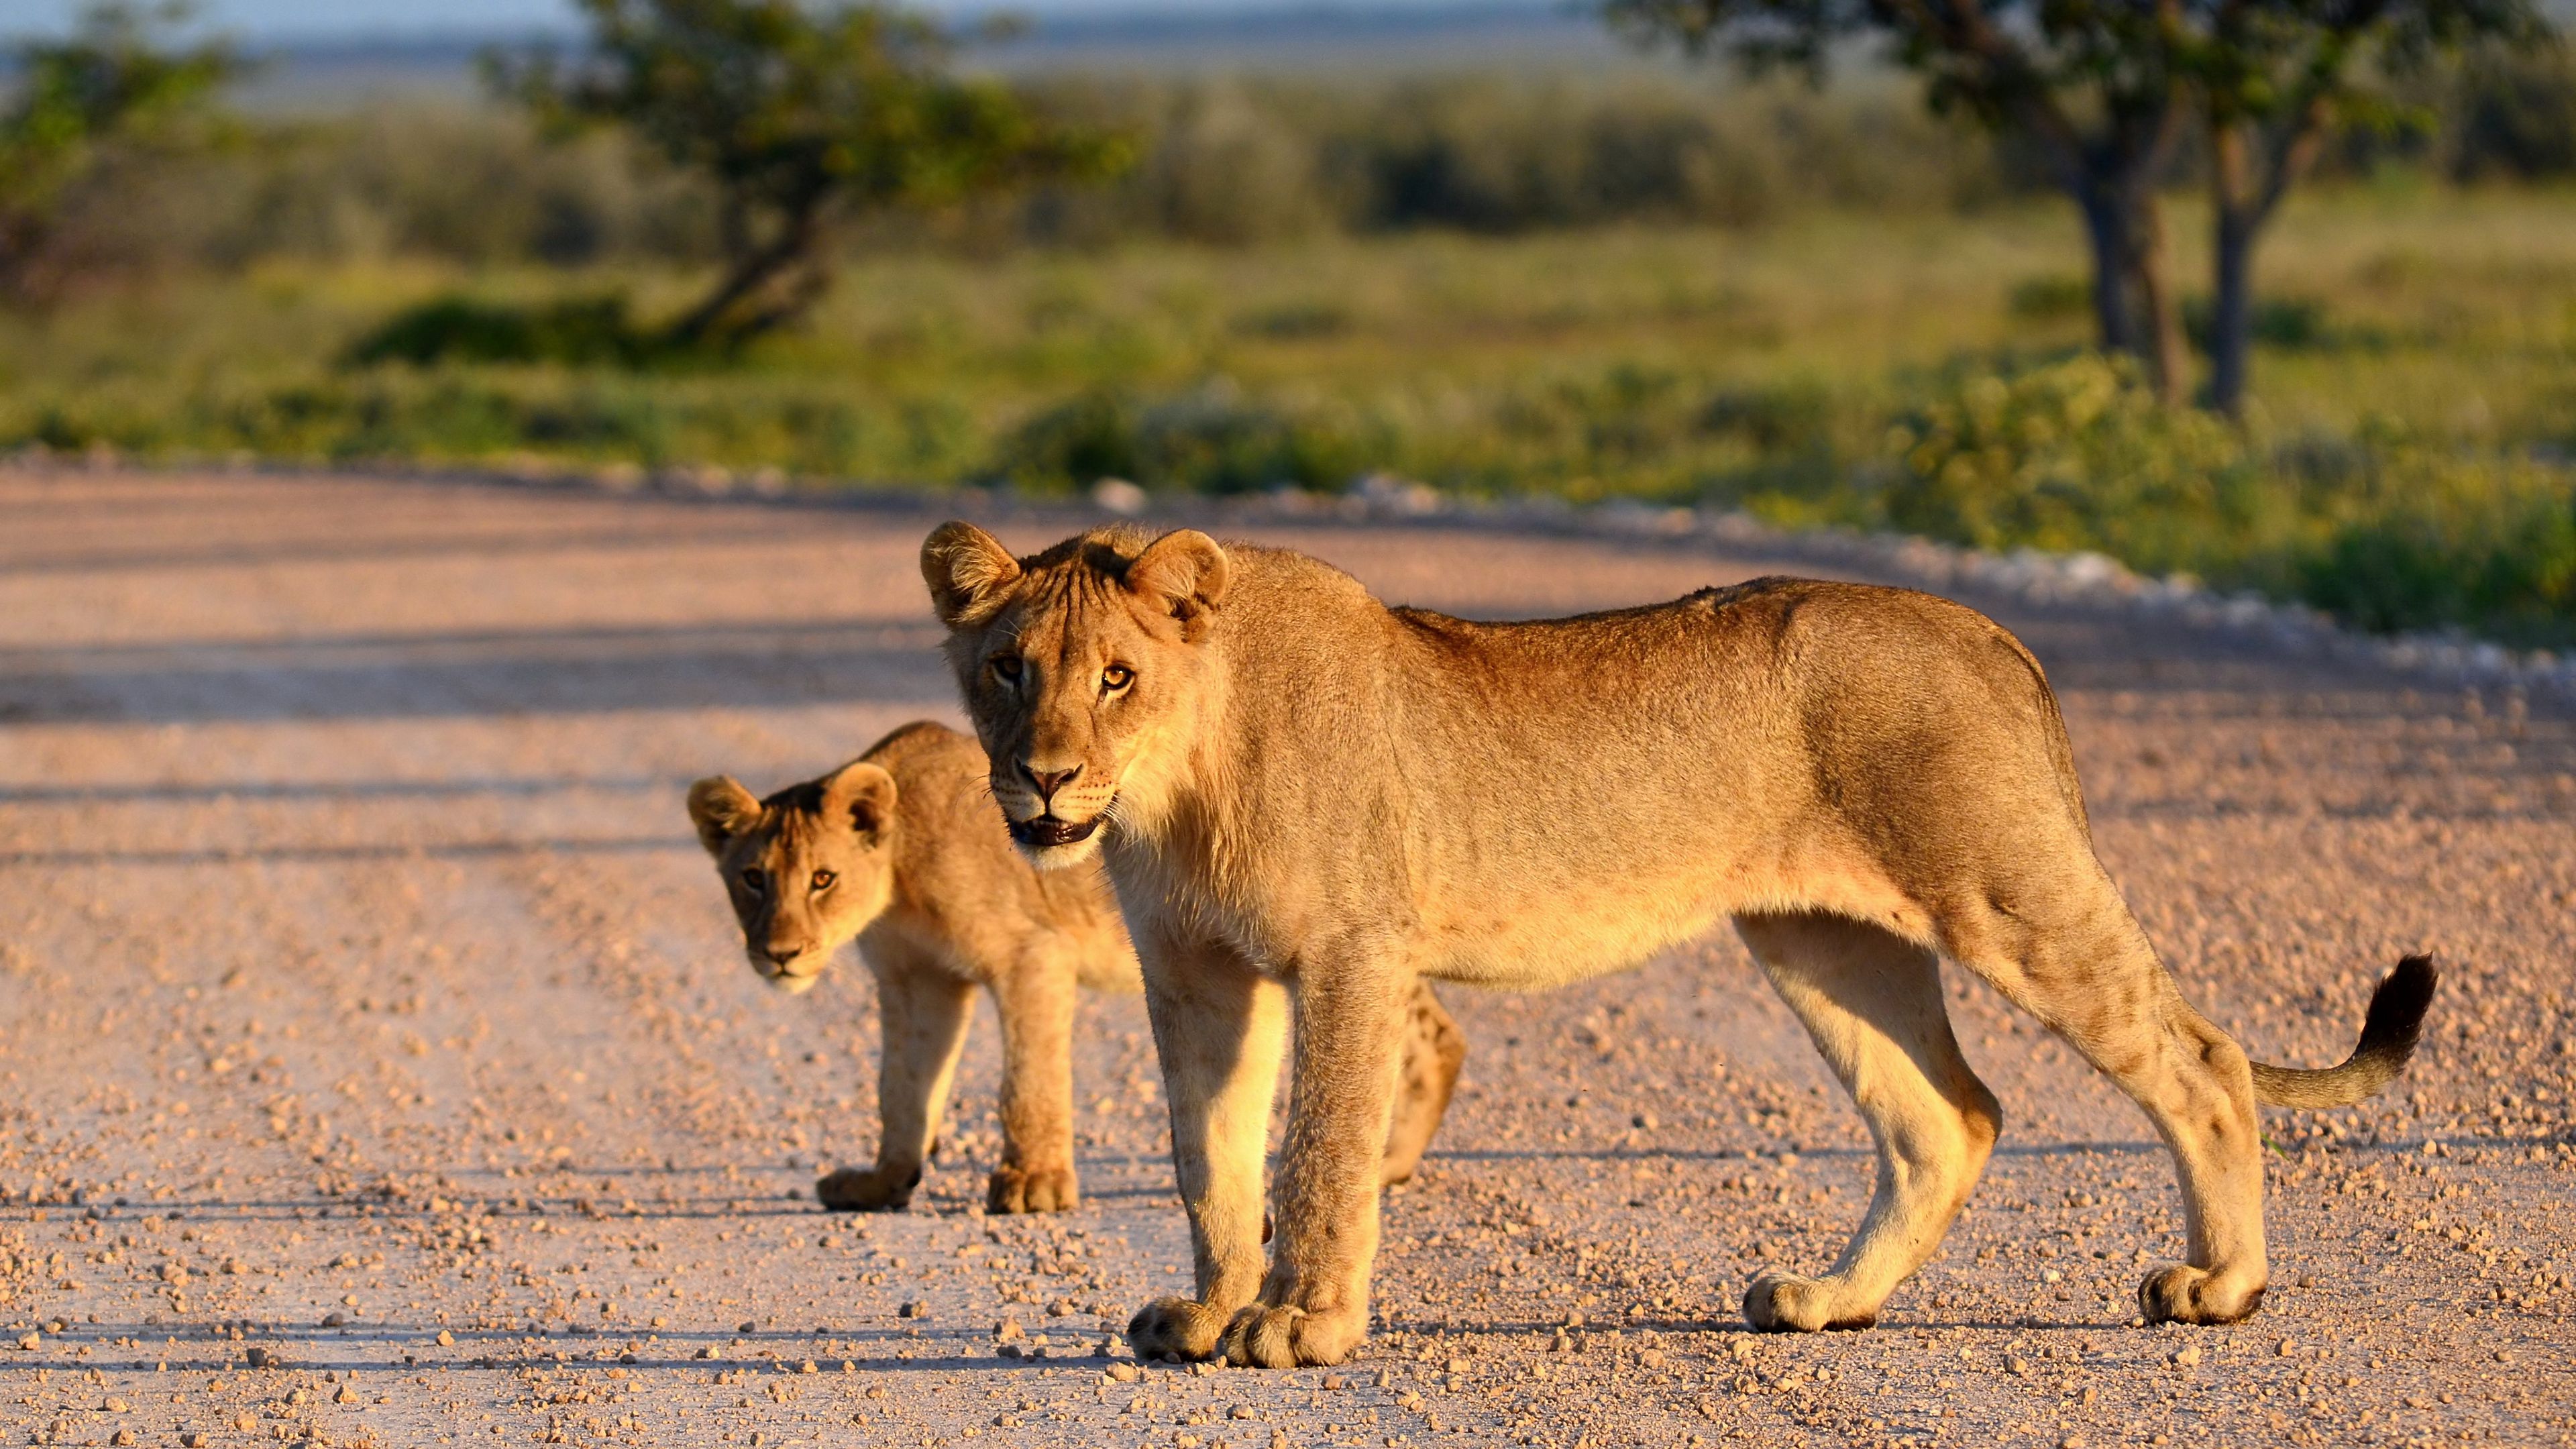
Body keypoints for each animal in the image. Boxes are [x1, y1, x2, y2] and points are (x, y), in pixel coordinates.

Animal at [686, 720, 1468, 1216]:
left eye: (822, 879)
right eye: (753, 879)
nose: (780, 953)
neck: (899, 876)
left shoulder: (1032, 955)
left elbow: (1027, 1083)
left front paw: (1033, 1185)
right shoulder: (916, 983)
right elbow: (901, 1089)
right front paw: (882, 1183)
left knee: (1426, 1036)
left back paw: (1385, 1164)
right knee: (1441, 1036)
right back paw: (1395, 1162)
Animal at [919, 520, 2438, 1367]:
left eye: (1118, 676)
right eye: (1007, 671)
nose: (1044, 781)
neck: (1181, 782)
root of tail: (1993, 631)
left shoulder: (1352, 956)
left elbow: (1322, 1152)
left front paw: (1302, 1325)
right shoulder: (1198, 979)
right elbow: (1209, 1161)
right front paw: (1206, 1314)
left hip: (2002, 887)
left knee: (2202, 1061)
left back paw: (2222, 1287)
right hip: (1825, 942)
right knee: (1948, 1115)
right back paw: (1828, 1302)